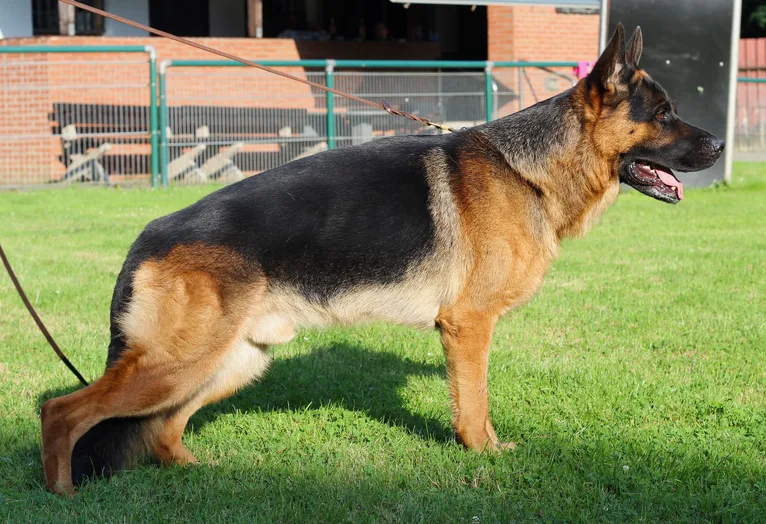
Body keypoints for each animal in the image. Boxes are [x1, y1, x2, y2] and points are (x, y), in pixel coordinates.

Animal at [40, 24, 728, 494]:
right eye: (664, 114)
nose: (721, 144)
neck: (527, 171)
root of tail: (148, 235)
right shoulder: (467, 328)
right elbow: (474, 405)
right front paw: (484, 457)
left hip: (227, 362)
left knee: (162, 430)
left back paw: (199, 473)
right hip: (178, 363)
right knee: (62, 411)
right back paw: (63, 493)